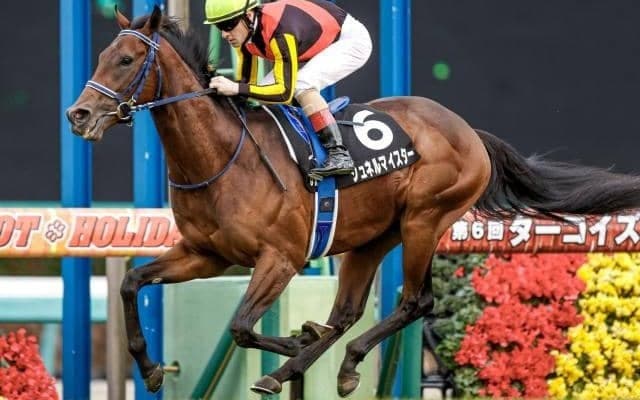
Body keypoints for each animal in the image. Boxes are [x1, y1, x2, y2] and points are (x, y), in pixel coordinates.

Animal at [65, 6, 640, 397]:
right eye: (101, 56)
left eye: (126, 59)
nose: (78, 114)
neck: (223, 157)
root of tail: (467, 131)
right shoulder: (207, 254)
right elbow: (133, 284)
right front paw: (149, 368)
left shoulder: (281, 258)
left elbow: (241, 327)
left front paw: (295, 342)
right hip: (372, 237)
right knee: (347, 313)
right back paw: (320, 365)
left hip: (425, 220)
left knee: (415, 303)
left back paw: (314, 363)